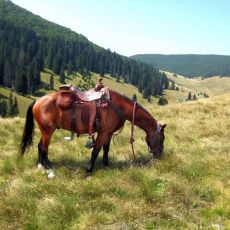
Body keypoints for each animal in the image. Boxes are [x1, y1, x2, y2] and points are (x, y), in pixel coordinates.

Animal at [18, 90, 166, 178]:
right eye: (162, 139)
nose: (159, 156)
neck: (118, 107)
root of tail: (37, 101)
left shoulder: (108, 133)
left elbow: (106, 150)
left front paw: (106, 166)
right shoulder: (103, 133)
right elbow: (95, 151)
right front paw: (89, 171)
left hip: (45, 131)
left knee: (39, 146)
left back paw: (41, 166)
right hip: (48, 130)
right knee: (44, 148)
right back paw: (49, 170)